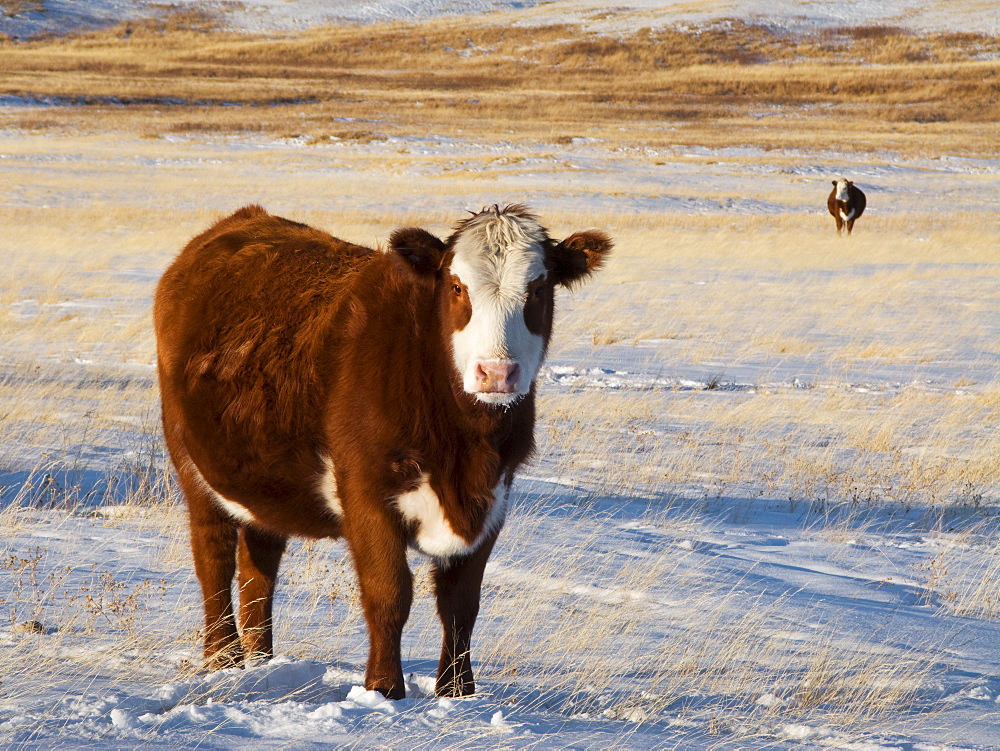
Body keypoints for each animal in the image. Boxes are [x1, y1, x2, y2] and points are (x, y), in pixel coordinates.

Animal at [153, 204, 612, 700]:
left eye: (538, 288)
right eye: (457, 286)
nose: (496, 373)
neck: (465, 447)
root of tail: (240, 221)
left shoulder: (496, 497)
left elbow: (461, 603)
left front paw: (457, 692)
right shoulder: (365, 491)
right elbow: (389, 592)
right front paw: (384, 689)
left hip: (264, 480)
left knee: (260, 566)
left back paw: (261, 662)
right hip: (191, 463)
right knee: (213, 557)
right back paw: (224, 659)